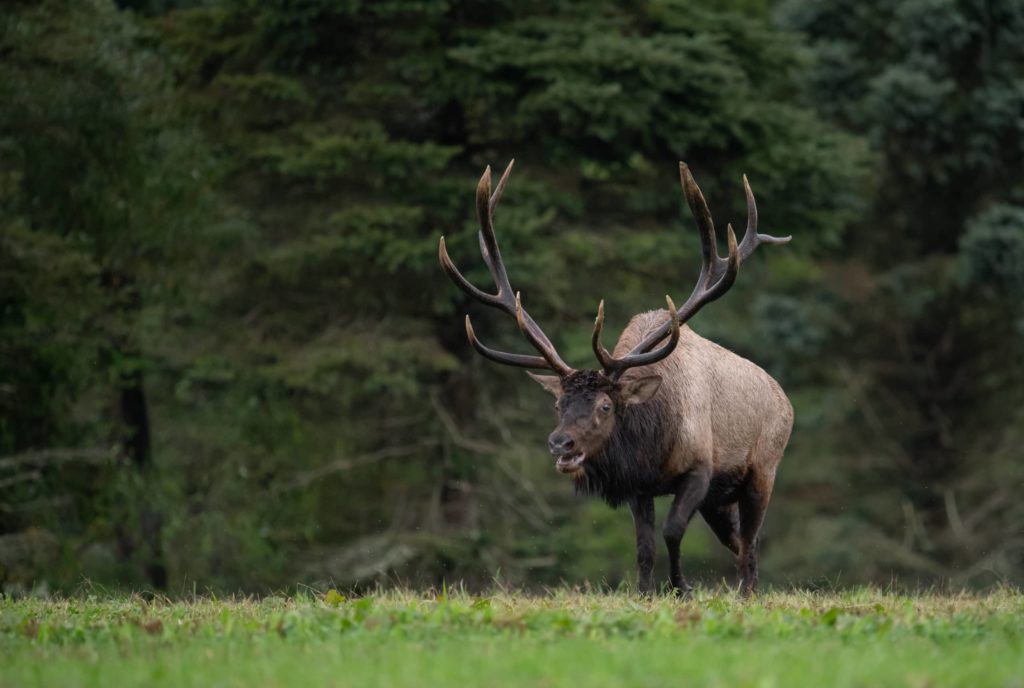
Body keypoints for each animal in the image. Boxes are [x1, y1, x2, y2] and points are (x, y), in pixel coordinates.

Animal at [438, 160, 794, 597]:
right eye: (558, 403)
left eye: (606, 406)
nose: (560, 442)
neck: (652, 441)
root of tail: (784, 397)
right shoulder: (639, 486)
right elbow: (643, 546)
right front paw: (645, 593)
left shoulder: (700, 468)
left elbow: (673, 531)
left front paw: (682, 587)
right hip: (719, 499)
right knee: (742, 540)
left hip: (763, 468)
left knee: (751, 539)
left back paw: (747, 592)